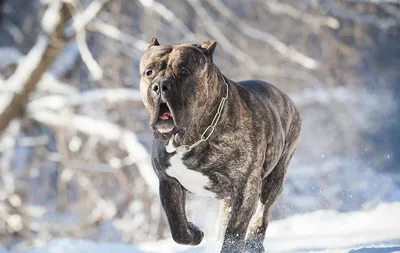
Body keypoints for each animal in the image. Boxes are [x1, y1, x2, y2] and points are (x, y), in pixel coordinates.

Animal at [139, 38, 302, 253]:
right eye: (149, 72)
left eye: (184, 72)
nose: (160, 86)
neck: (192, 138)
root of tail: (287, 99)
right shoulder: (168, 181)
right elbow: (178, 227)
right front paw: (194, 232)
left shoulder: (246, 188)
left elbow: (234, 234)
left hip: (274, 179)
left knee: (263, 210)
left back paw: (254, 242)